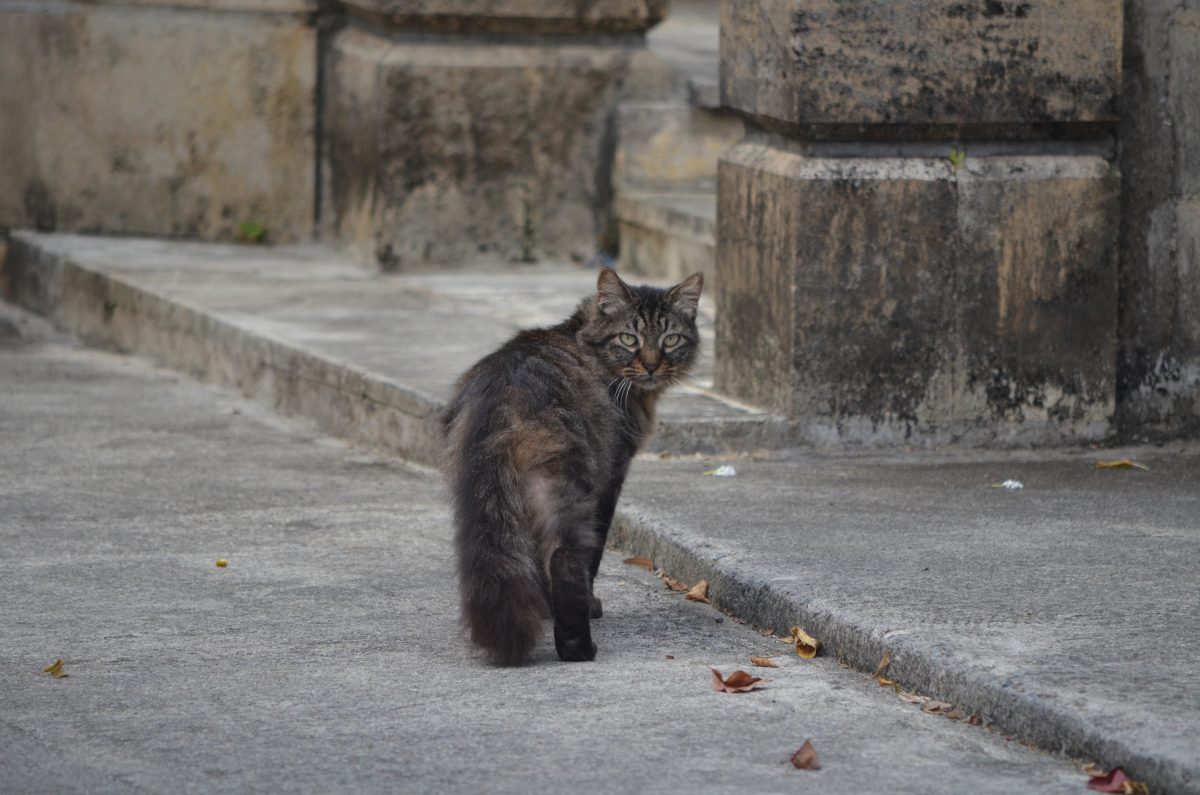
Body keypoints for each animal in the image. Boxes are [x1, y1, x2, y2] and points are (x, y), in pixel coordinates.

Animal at [441, 268, 704, 665]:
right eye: (629, 338)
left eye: (670, 338)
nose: (652, 365)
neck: (585, 338)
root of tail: (505, 390)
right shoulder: (612, 475)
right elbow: (593, 557)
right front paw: (587, 605)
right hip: (568, 486)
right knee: (564, 558)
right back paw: (578, 647)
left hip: (483, 493)